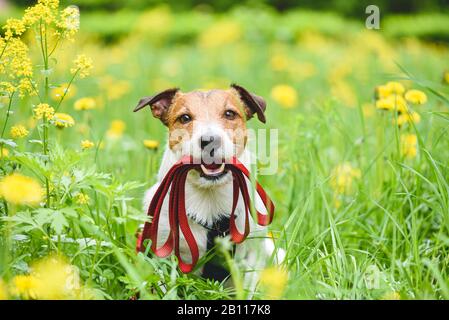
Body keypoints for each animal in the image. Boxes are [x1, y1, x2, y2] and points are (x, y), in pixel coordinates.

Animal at [133, 84, 282, 296]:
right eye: (185, 118)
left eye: (230, 113)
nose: (210, 140)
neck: (209, 197)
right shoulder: (161, 254)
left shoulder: (252, 255)